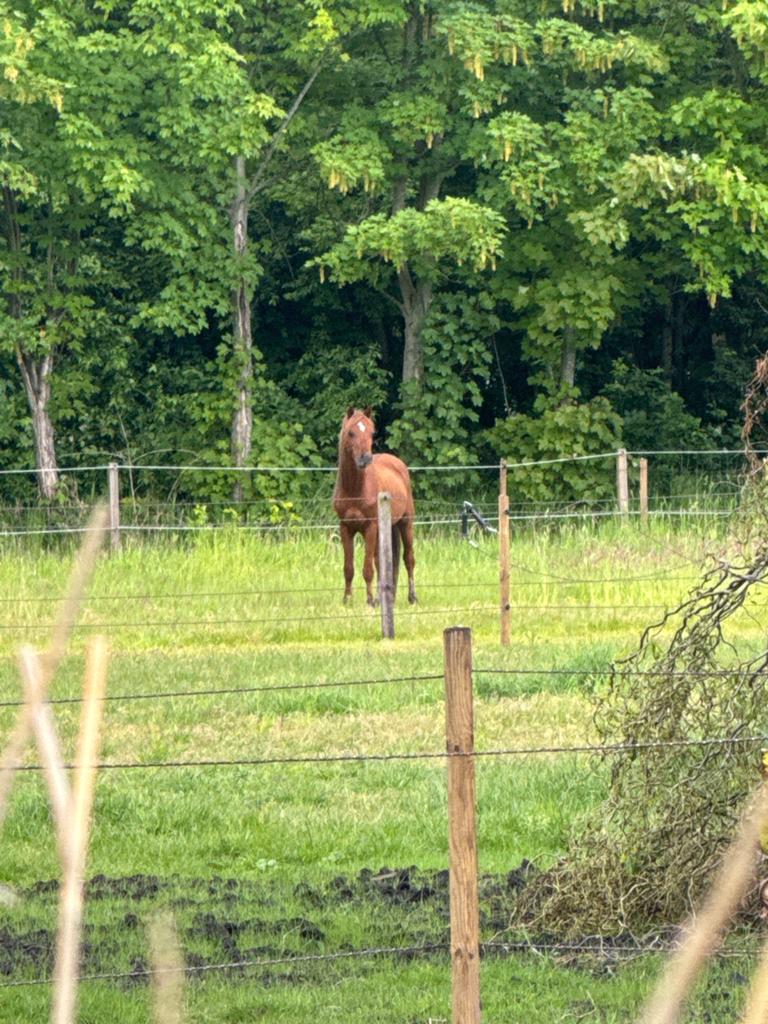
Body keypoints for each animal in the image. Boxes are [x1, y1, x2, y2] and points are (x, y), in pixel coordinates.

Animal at [333, 406, 417, 607]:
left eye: (371, 432)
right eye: (351, 432)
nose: (365, 459)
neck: (355, 489)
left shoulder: (370, 527)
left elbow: (368, 568)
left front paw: (370, 600)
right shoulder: (345, 528)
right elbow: (349, 568)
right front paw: (347, 599)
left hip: (405, 524)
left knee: (408, 559)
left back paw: (412, 597)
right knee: (383, 563)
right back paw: (386, 597)